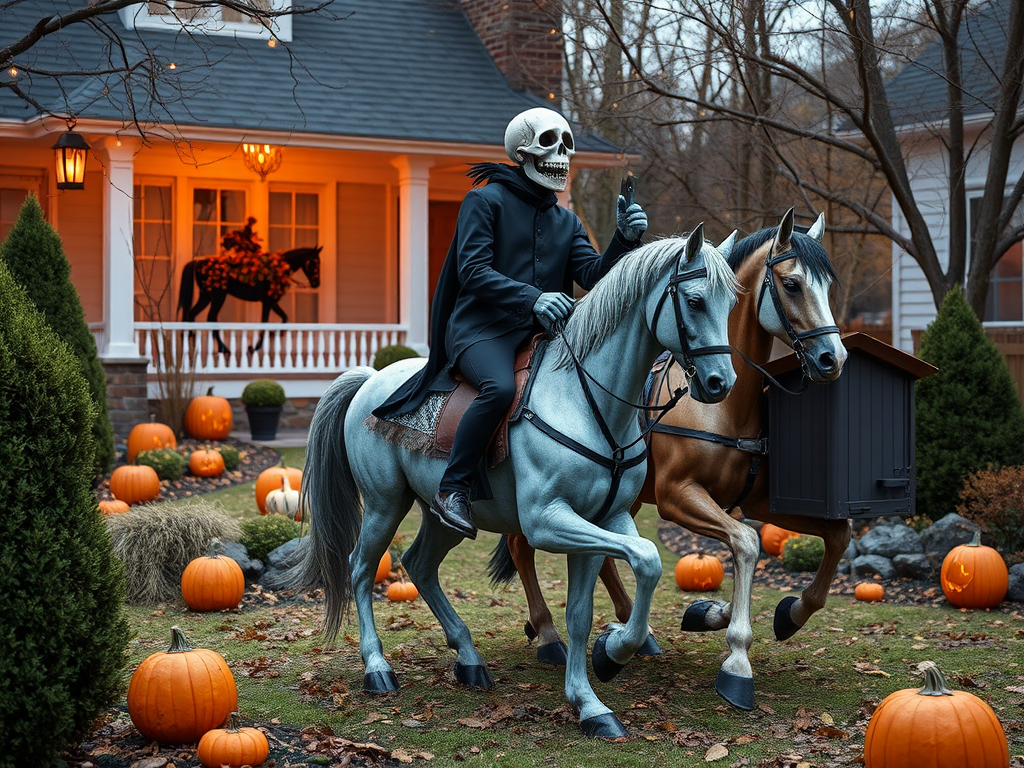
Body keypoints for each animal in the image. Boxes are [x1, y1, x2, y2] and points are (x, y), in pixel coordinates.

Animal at [294, 227, 737, 741]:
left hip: (444, 515)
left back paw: (468, 657)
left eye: (731, 303)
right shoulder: (549, 521)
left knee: (419, 565)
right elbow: (645, 559)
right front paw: (611, 657)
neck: (585, 400)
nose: (720, 383)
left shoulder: (605, 518)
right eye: (695, 300)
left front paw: (593, 693)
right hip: (385, 504)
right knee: (362, 569)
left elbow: (592, 606)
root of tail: (371, 377)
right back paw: (377, 667)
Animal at [491, 208, 851, 708]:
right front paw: (735, 654)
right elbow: (747, 542)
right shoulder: (677, 497)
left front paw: (778, 612)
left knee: (599, 555)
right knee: (522, 546)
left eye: (829, 286)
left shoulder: (755, 501)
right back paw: (550, 635)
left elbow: (836, 536)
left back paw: (632, 631)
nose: (833, 358)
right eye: (793, 284)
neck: (722, 409)